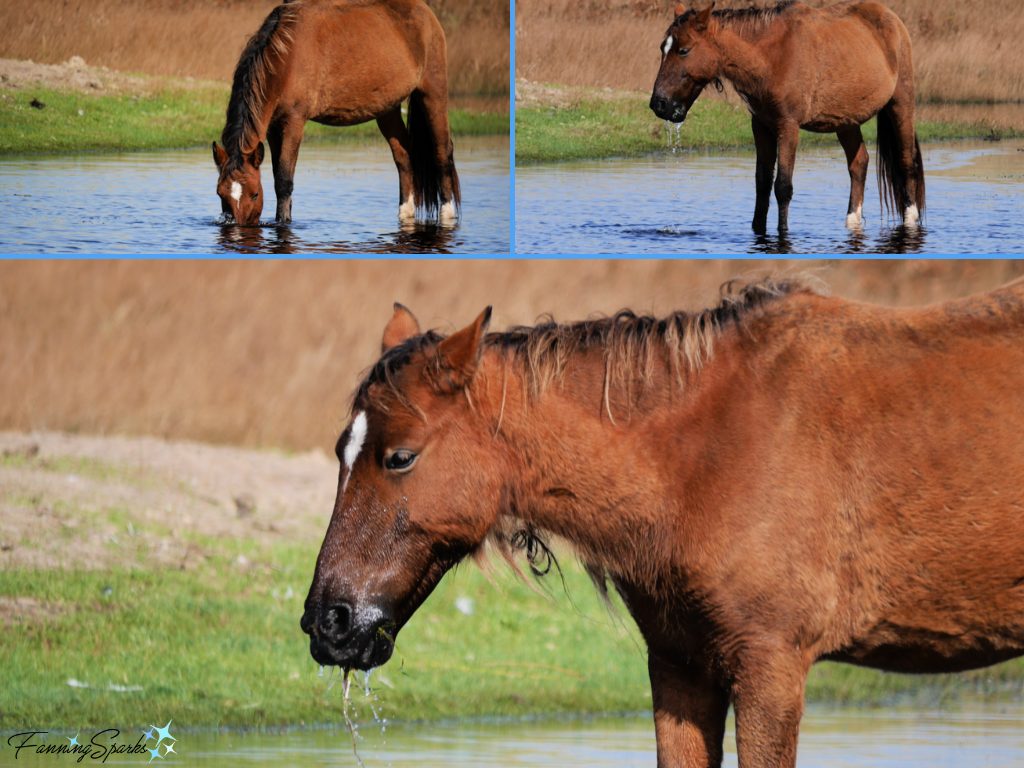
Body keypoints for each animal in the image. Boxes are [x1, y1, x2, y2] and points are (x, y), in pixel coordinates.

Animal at [211, 0, 460, 227]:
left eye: (254, 193)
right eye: (220, 194)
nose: (238, 226)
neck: (285, 56)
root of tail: (425, 11)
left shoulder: (294, 120)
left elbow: (283, 180)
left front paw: (284, 223)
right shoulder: (273, 126)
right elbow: (277, 175)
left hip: (433, 94)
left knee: (441, 152)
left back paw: (447, 214)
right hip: (387, 109)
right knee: (404, 157)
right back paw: (405, 213)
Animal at [299, 280, 1024, 768]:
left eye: (400, 456)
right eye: (340, 451)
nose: (327, 621)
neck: (704, 456)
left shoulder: (771, 670)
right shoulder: (680, 668)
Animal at [647, 0, 929, 234]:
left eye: (684, 50)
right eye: (662, 48)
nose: (659, 104)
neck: (770, 57)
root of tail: (892, 18)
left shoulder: (788, 126)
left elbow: (783, 186)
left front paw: (783, 233)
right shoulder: (761, 125)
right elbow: (762, 184)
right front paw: (758, 230)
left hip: (901, 104)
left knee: (906, 162)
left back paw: (910, 219)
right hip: (846, 121)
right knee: (859, 163)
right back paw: (852, 221)